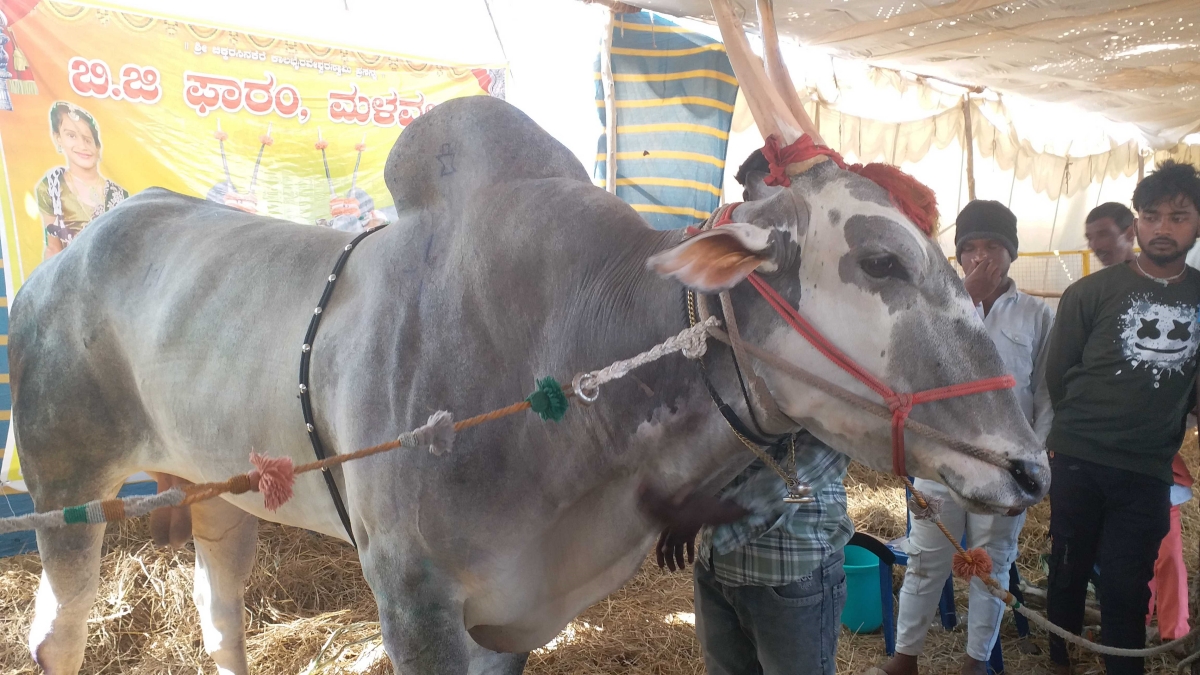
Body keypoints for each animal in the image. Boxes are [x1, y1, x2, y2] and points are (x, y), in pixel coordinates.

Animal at [14, 96, 1051, 672]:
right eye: (880, 259)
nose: (1031, 468)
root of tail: (59, 264)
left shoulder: (507, 617)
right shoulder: (414, 598)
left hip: (215, 493)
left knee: (219, 616)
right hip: (66, 485)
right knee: (57, 636)